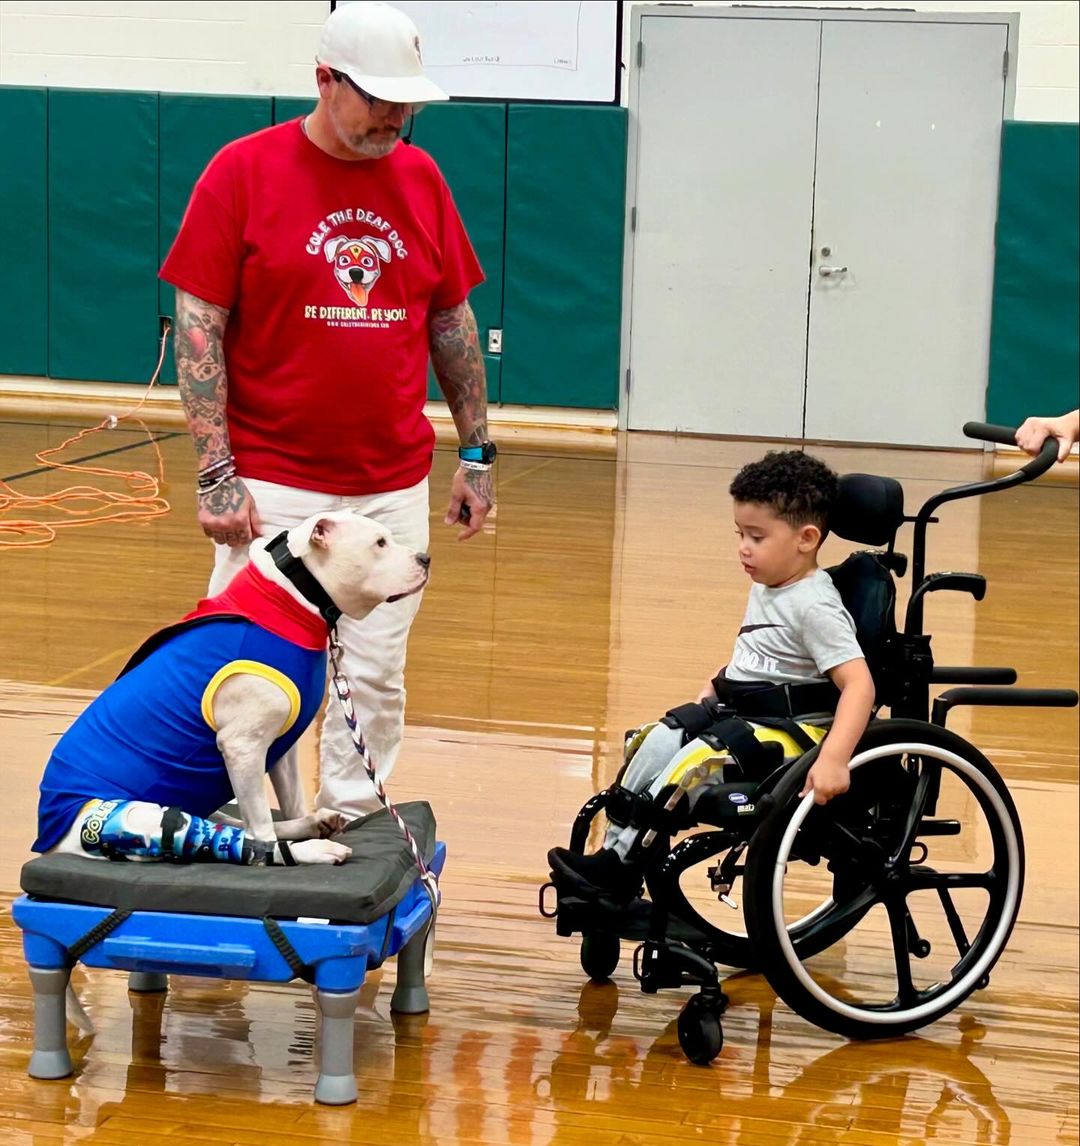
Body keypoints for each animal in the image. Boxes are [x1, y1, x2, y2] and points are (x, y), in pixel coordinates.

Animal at [33, 511, 431, 866]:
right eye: (379, 543)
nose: (425, 559)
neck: (289, 597)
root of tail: (49, 840)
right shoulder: (243, 747)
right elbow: (261, 829)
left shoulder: (280, 748)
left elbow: (287, 802)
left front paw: (302, 818)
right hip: (129, 816)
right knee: (237, 838)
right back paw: (307, 851)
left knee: (240, 824)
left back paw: (311, 826)